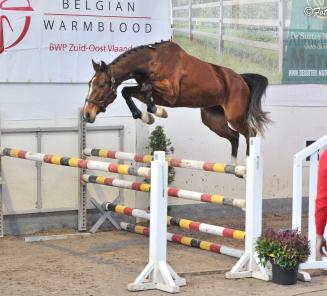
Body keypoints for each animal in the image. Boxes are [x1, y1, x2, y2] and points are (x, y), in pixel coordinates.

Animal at [83, 40, 270, 164]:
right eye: (89, 84)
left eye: (101, 85)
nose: (87, 114)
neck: (152, 62)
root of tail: (241, 79)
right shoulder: (155, 93)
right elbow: (127, 91)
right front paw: (146, 116)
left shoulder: (171, 94)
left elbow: (145, 87)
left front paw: (157, 112)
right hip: (212, 119)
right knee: (234, 136)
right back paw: (233, 167)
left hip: (235, 116)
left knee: (250, 133)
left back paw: (248, 163)